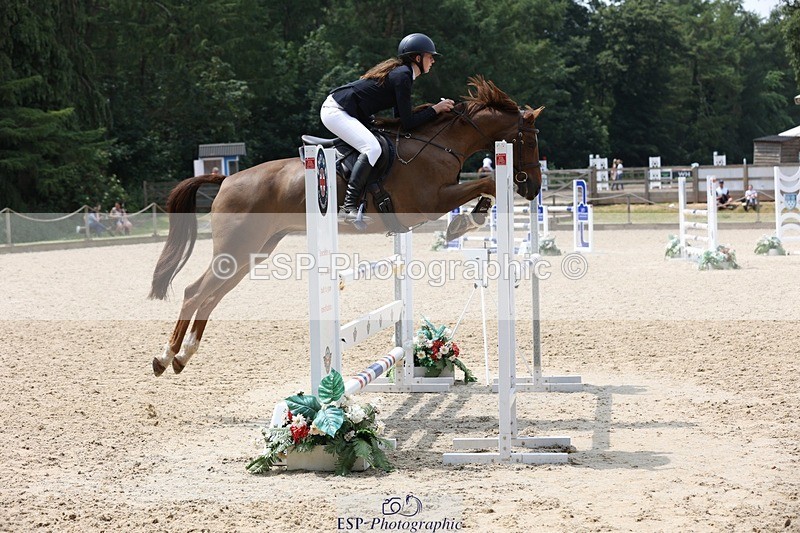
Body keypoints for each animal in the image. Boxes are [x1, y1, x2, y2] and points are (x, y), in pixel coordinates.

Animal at [149, 76, 544, 376]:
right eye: (528, 140)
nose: (533, 188)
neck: (439, 144)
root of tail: (227, 179)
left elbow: (484, 188)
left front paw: (469, 218)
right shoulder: (429, 202)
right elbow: (486, 183)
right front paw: (462, 223)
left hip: (252, 253)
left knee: (212, 295)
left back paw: (182, 357)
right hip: (237, 247)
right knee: (194, 292)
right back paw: (164, 357)